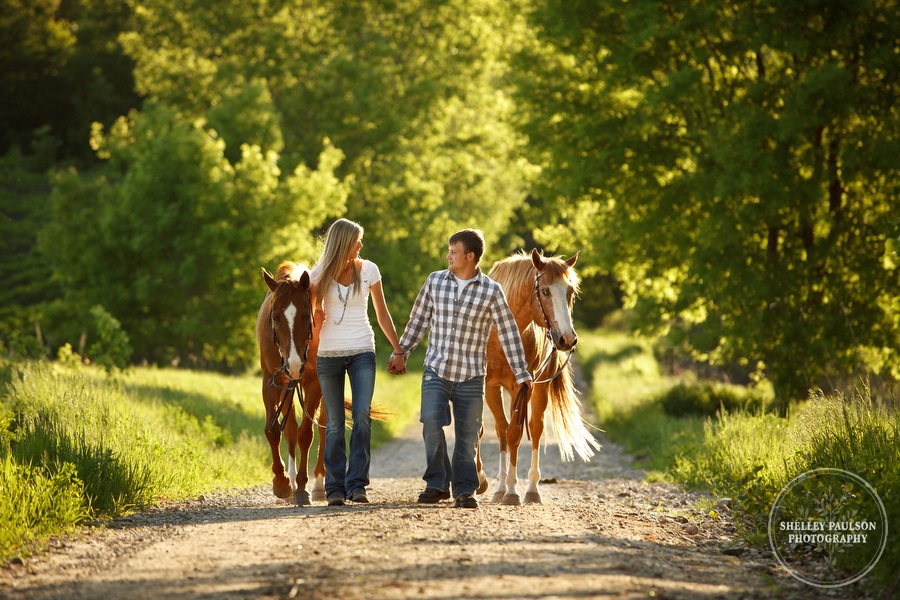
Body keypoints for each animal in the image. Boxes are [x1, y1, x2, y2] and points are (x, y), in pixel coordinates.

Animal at [256, 262, 326, 506]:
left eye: (306, 315)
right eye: (275, 317)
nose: (295, 365)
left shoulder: (314, 383)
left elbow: (306, 434)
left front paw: (303, 486)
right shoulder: (272, 380)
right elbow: (274, 430)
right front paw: (282, 482)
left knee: (324, 426)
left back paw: (319, 485)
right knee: (290, 430)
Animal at [482, 251, 600, 504]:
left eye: (570, 292)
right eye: (545, 291)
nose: (567, 338)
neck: (499, 333)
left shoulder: (521, 387)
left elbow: (515, 433)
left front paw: (512, 491)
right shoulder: (487, 386)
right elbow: (487, 430)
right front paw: (484, 481)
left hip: (539, 387)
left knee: (534, 428)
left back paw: (531, 490)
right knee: (502, 429)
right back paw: (499, 487)